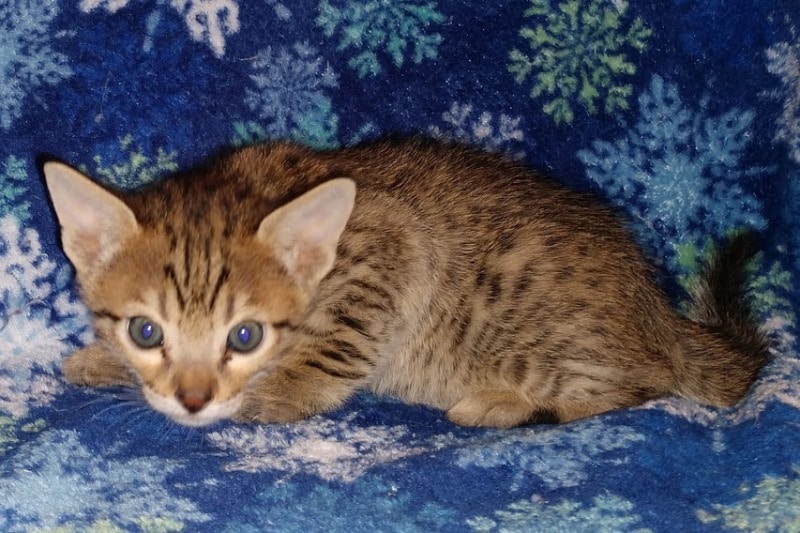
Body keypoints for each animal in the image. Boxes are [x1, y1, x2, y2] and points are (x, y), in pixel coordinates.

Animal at [43, 137, 769, 428]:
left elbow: (329, 351)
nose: (193, 401)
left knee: (638, 387)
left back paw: (509, 406)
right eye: (146, 331)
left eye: (243, 337)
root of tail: (661, 316)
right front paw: (104, 360)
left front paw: (268, 396)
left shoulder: (390, 248)